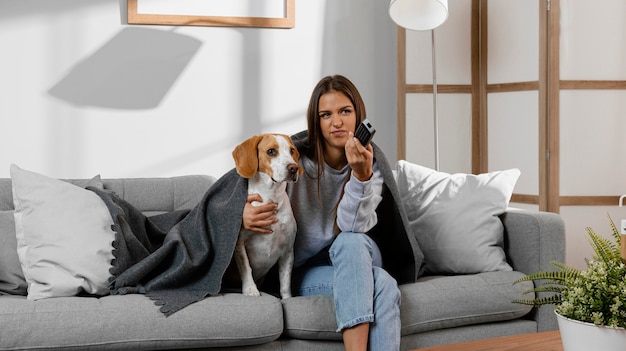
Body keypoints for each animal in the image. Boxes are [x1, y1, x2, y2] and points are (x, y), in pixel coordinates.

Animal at [230, 133, 302, 298]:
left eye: (292, 150)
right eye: (271, 151)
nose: (294, 168)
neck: (271, 196)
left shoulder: (287, 250)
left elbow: (285, 284)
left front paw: (287, 299)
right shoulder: (239, 244)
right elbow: (246, 267)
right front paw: (250, 289)